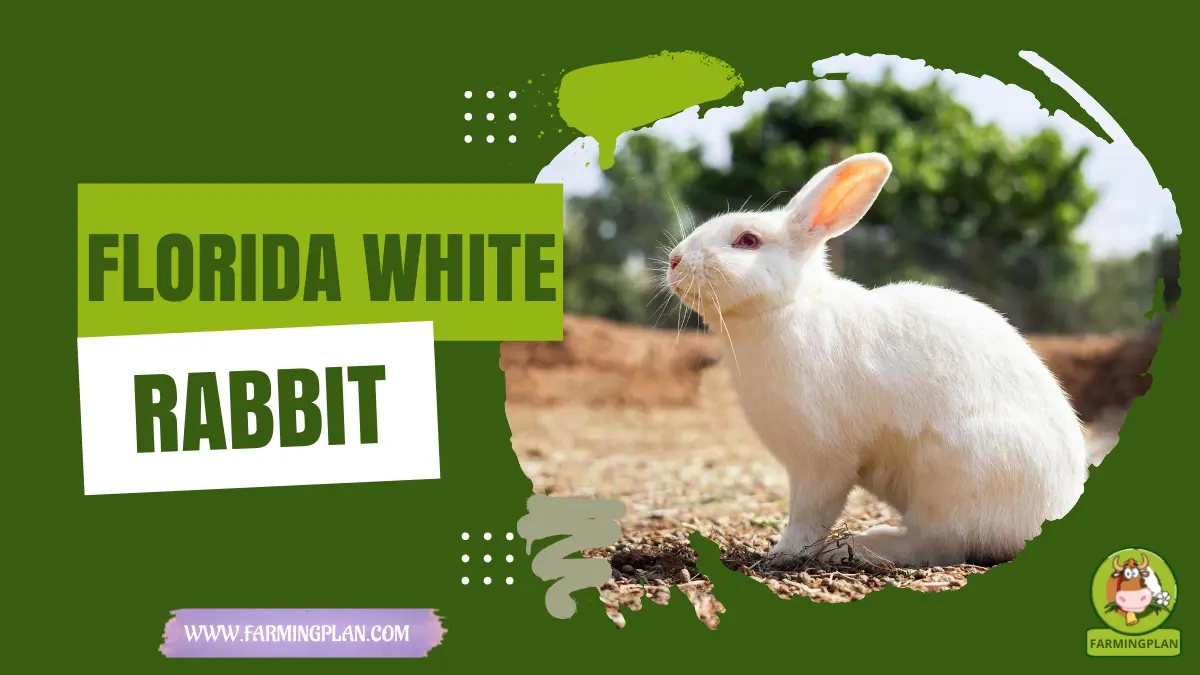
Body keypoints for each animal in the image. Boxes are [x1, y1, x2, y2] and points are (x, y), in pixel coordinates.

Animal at [664, 152, 1089, 568]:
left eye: (748, 240)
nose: (674, 260)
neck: (787, 306)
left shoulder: (819, 460)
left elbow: (810, 513)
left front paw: (782, 553)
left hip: (952, 476)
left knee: (935, 546)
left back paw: (853, 547)